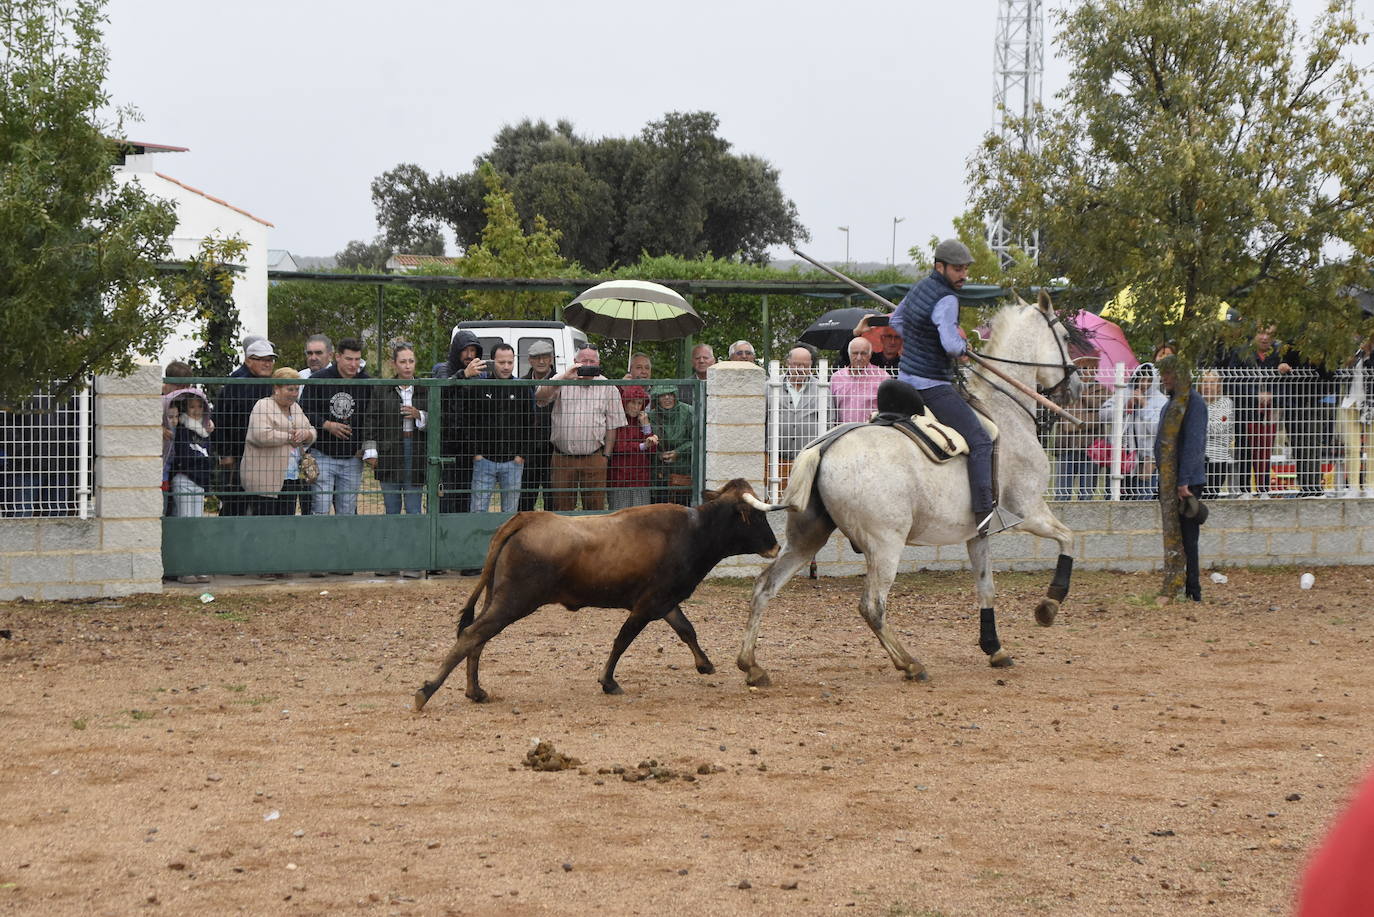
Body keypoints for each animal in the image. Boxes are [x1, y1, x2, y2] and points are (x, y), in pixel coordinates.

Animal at [409, 481, 785, 709]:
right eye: (754, 517)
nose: (776, 546)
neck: (695, 532)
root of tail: (525, 519)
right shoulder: (649, 603)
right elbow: (623, 639)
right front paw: (608, 681)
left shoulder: (664, 601)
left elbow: (685, 629)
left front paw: (706, 664)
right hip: (512, 601)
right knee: (472, 635)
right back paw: (426, 691)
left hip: (497, 599)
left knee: (477, 639)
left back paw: (475, 691)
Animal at [741, 290, 1082, 684]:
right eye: (1066, 337)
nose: (1077, 386)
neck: (1005, 412)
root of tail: (822, 448)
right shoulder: (1030, 511)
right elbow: (1068, 538)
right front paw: (1048, 606)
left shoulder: (977, 533)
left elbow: (986, 588)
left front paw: (994, 647)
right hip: (886, 543)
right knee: (872, 606)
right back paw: (909, 663)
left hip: (805, 538)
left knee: (764, 586)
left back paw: (751, 665)